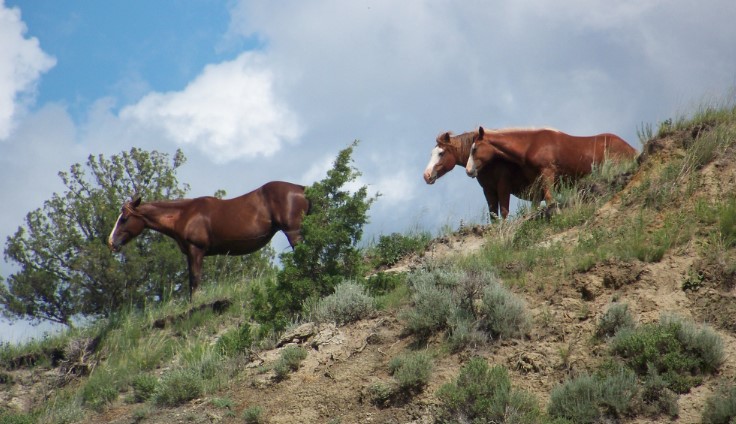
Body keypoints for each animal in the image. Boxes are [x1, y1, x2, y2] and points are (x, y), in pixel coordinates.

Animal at [106, 181, 308, 298]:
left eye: (124, 218)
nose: (111, 242)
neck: (184, 215)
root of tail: (301, 189)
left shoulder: (196, 250)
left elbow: (195, 280)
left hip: (293, 232)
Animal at [466, 126, 640, 205]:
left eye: (474, 149)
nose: (469, 170)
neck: (531, 145)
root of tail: (633, 150)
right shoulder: (535, 180)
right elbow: (536, 203)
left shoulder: (547, 173)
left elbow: (549, 198)